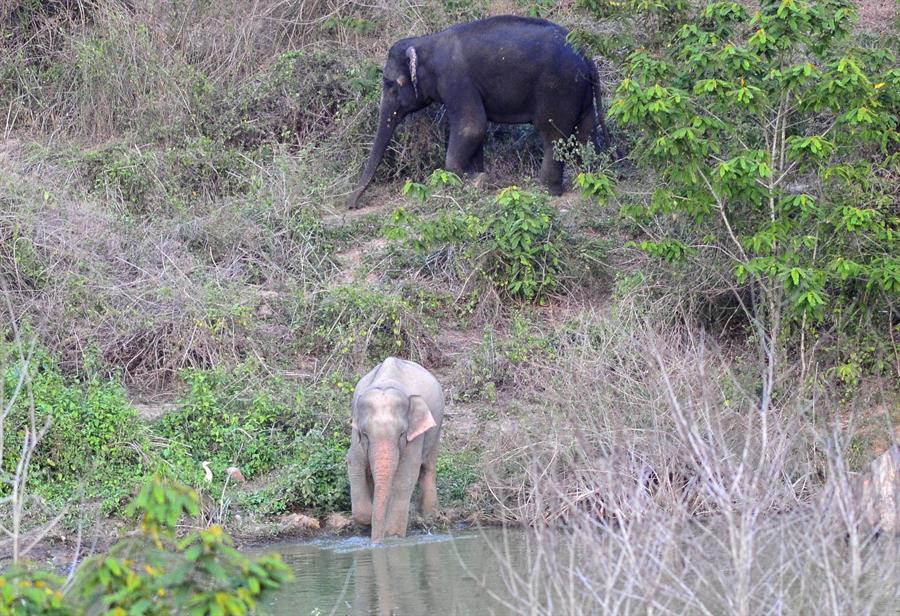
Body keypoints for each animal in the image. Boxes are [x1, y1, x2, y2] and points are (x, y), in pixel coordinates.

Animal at [344, 12, 612, 207]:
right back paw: (587, 181)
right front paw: (478, 175)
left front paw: (474, 181)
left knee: (553, 136)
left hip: (558, 88)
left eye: (390, 85)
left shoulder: (455, 79)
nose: (350, 205)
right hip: (581, 94)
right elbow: (475, 132)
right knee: (585, 132)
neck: (425, 41)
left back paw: (546, 190)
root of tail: (587, 57)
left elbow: (472, 126)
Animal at [346, 356, 444, 544]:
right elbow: (355, 463)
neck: (387, 382)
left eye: (401, 434)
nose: (375, 543)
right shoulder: (355, 433)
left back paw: (428, 517)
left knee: (427, 468)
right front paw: (369, 521)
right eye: (365, 434)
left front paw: (393, 536)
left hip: (436, 427)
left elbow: (405, 475)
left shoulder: (414, 434)